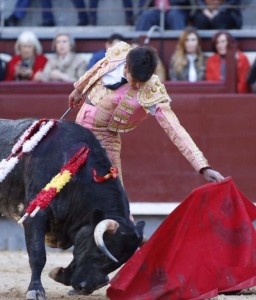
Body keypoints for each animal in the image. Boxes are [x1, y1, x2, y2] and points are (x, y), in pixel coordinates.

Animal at [0, 118, 144, 298]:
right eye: (100, 252)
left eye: (118, 263)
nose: (87, 287)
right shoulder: (35, 216)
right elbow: (38, 255)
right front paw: (36, 290)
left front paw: (61, 274)